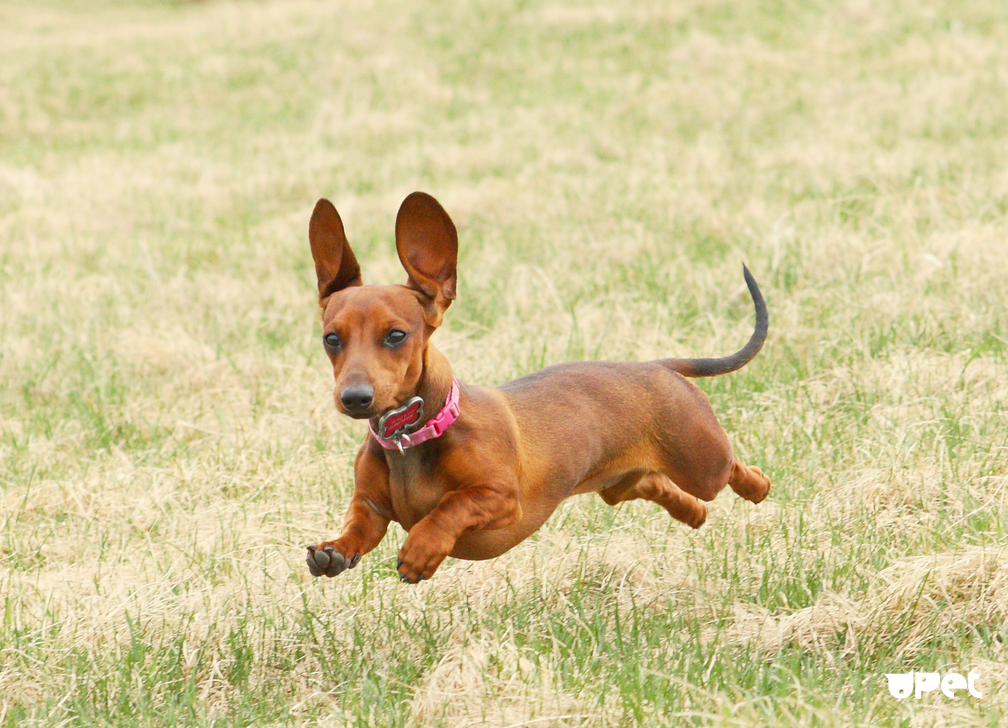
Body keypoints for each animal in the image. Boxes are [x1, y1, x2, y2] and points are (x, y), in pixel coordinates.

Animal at [302, 189, 766, 580]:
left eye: (396, 335)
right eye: (332, 338)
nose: (354, 398)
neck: (412, 437)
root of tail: (655, 366)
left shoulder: (502, 499)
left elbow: (451, 505)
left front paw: (422, 549)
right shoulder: (371, 506)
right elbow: (358, 526)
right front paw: (333, 550)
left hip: (702, 462)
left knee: (732, 469)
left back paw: (756, 487)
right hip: (619, 485)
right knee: (654, 483)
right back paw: (692, 514)